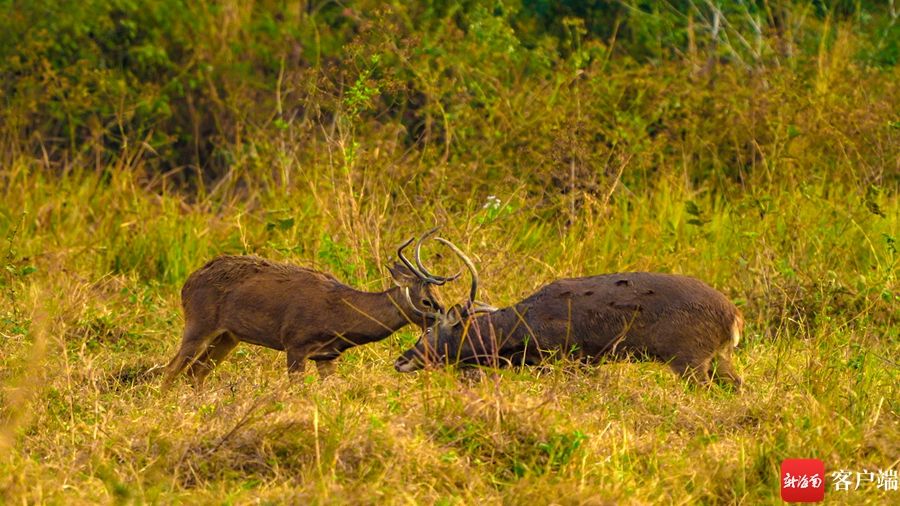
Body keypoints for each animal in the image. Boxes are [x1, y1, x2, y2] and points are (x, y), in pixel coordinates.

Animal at [162, 229, 458, 388]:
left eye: (439, 296)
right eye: (427, 301)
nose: (446, 319)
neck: (340, 314)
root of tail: (187, 283)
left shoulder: (326, 356)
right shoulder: (295, 343)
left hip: (228, 337)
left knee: (196, 373)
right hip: (199, 324)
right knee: (171, 369)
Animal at [396, 235, 744, 390]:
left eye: (429, 331)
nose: (400, 360)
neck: (521, 328)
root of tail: (733, 315)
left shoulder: (565, 355)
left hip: (688, 354)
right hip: (717, 356)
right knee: (737, 384)